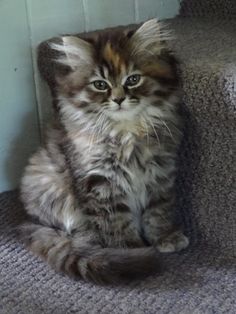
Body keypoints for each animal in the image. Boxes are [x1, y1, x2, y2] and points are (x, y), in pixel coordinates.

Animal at [21, 19, 189, 284]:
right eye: (100, 85)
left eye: (133, 79)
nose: (119, 100)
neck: (127, 132)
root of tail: (27, 220)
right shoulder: (100, 181)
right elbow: (115, 221)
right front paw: (131, 248)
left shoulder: (161, 171)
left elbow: (158, 209)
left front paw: (165, 237)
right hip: (50, 187)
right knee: (72, 230)